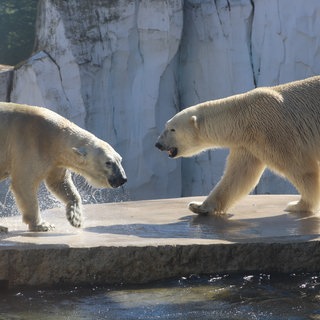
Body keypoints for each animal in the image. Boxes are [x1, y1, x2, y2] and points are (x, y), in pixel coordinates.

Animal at [0, 102, 127, 230]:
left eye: (120, 160)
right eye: (108, 162)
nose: (122, 179)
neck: (51, 135)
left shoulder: (56, 159)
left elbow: (59, 182)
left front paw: (76, 218)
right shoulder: (29, 144)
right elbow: (24, 182)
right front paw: (42, 225)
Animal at [156, 75, 320, 215]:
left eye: (172, 129)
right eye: (165, 126)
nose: (158, 144)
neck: (242, 115)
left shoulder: (272, 131)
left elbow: (301, 167)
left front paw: (298, 205)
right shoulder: (247, 143)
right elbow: (238, 175)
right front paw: (198, 206)